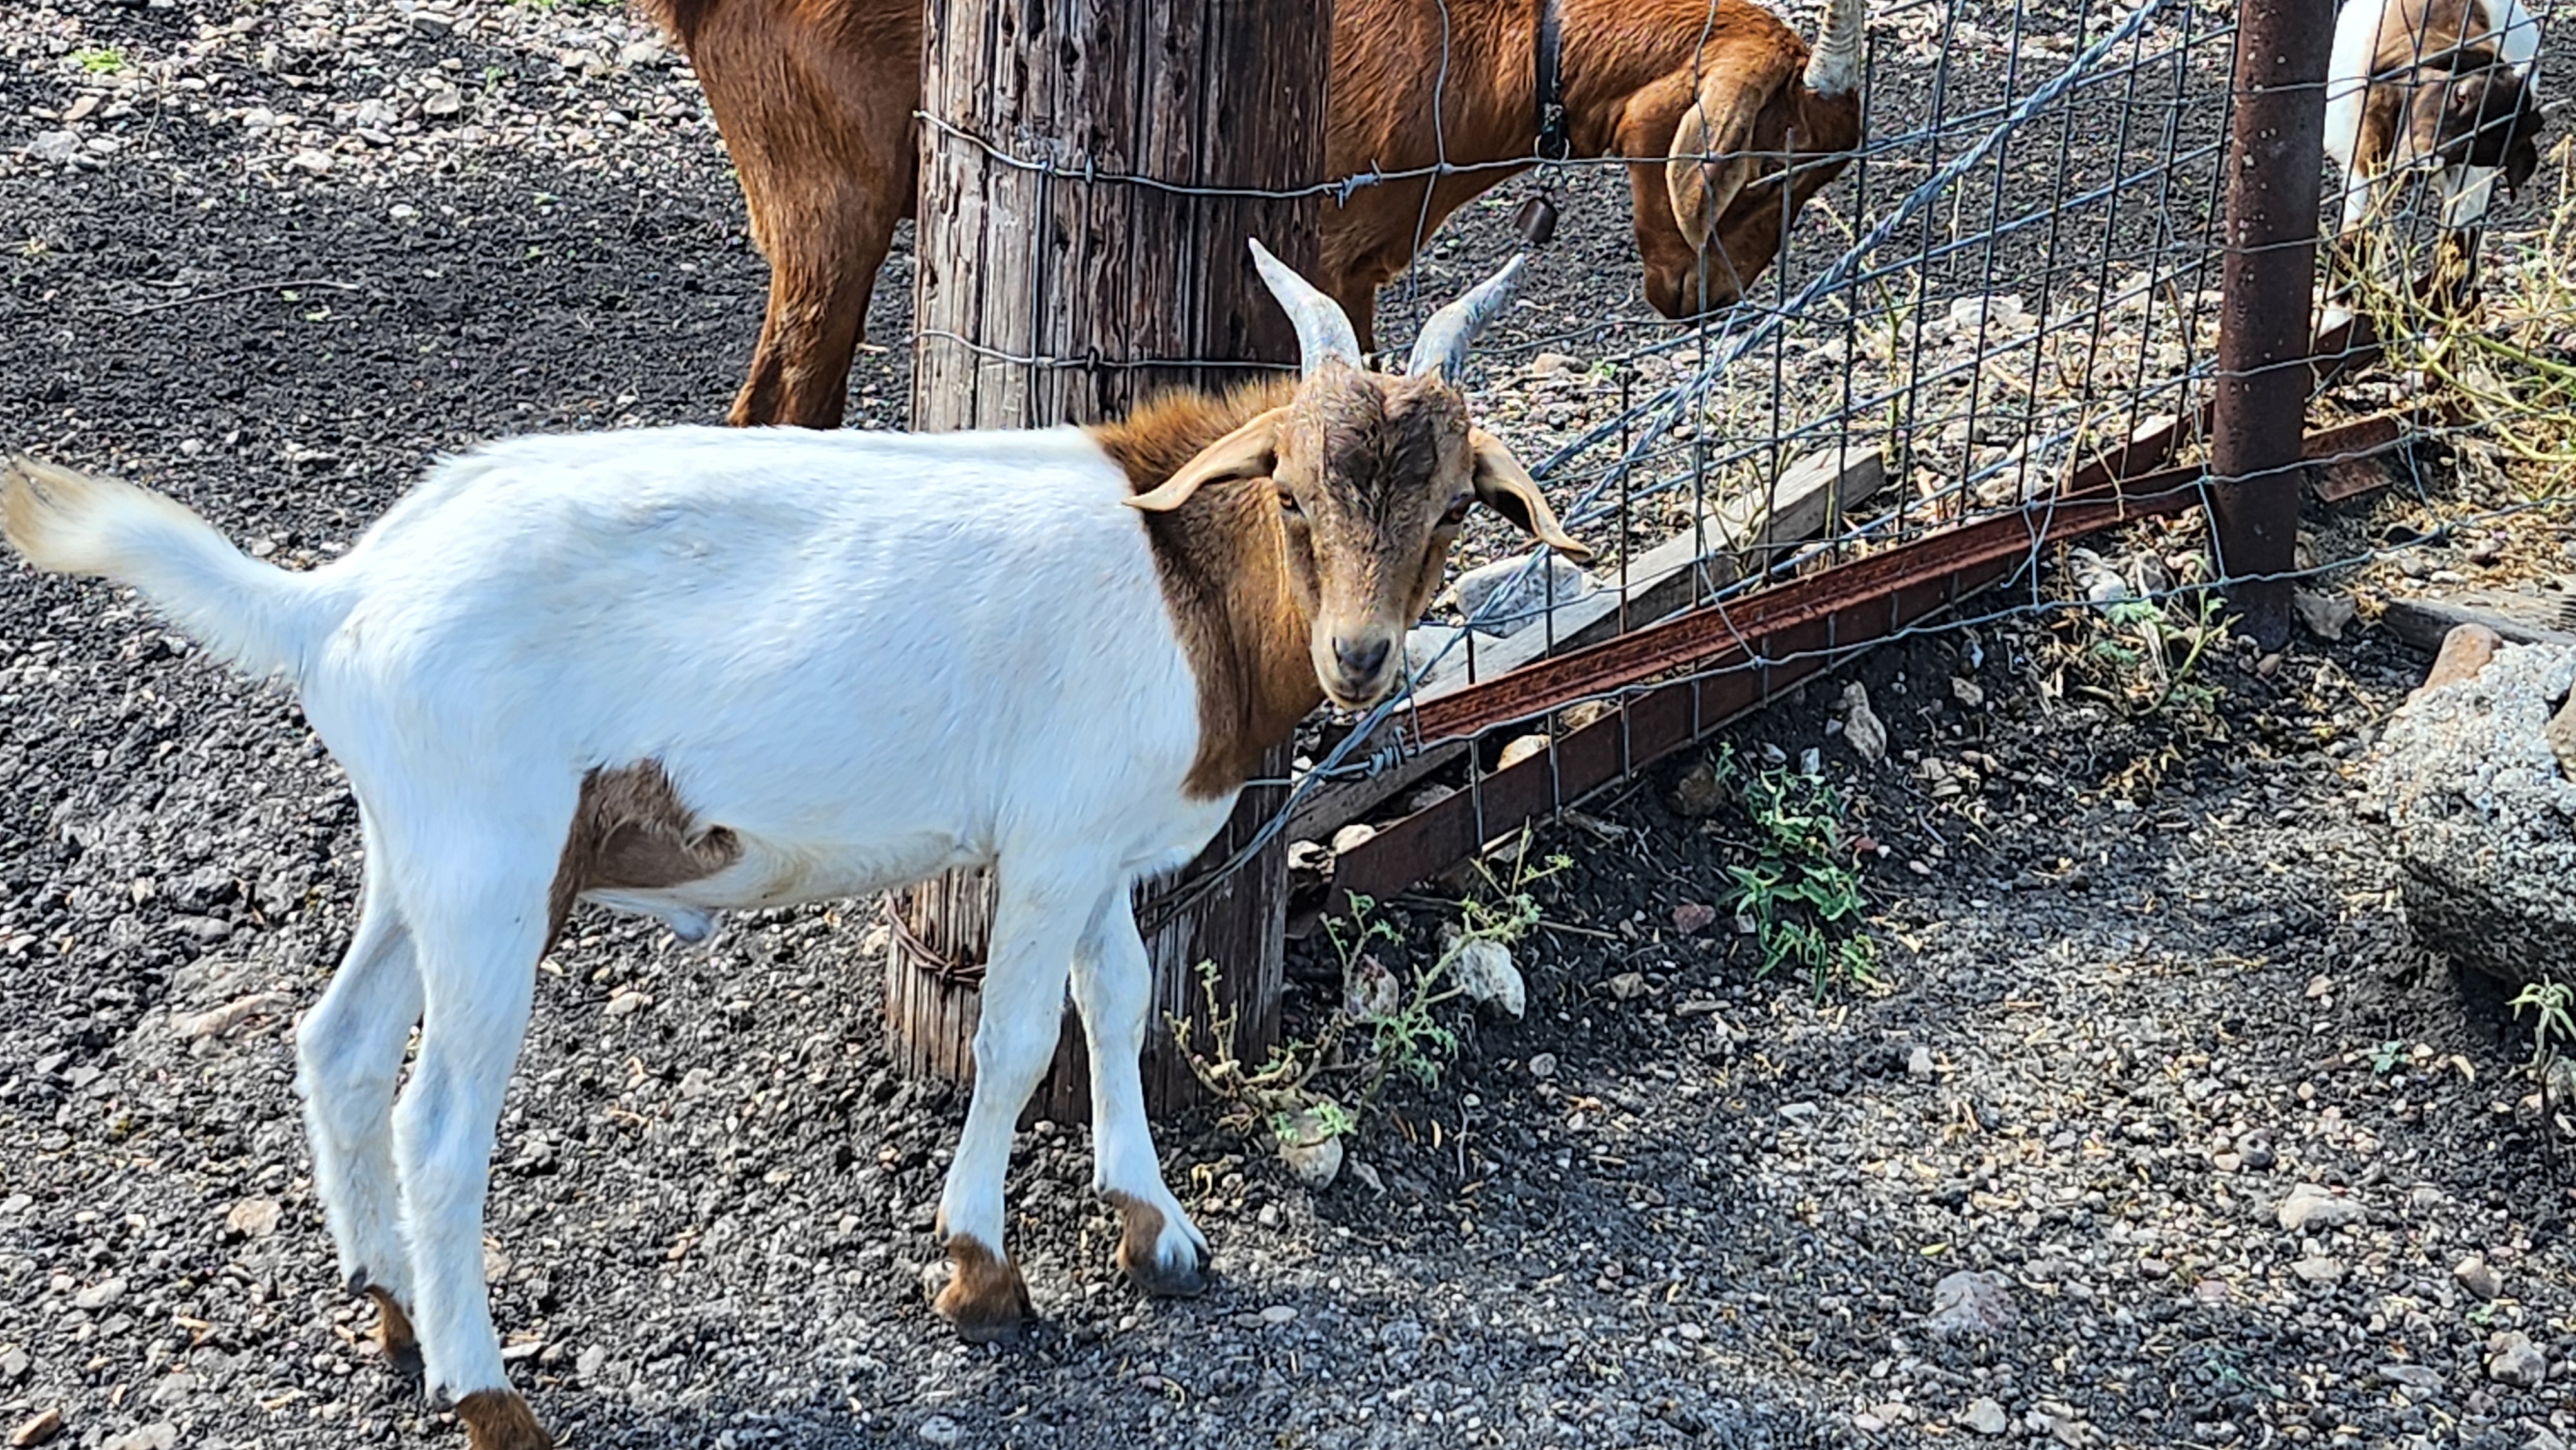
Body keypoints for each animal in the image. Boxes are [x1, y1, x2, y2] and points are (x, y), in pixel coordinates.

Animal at [1, 243, 1589, 1450]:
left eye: (1453, 505)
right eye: (1295, 493)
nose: (1358, 658)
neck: (1171, 565)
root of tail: (339, 599)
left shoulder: (1091, 838)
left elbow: (1119, 1004)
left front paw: (1159, 1233)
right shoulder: (1053, 837)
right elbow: (1021, 1036)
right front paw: (981, 1274)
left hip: (421, 855)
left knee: (333, 1047)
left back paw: (391, 1313)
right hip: (492, 868)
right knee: (436, 1122)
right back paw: (488, 1395)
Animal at [643, 0, 1867, 428]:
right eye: (1769, 170)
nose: (1711, 295)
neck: (1502, 40)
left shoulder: (1361, 261)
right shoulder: (1310, 239)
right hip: (828, 190)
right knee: (778, 406)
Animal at [2323, 0, 2548, 301]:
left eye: (2483, 145)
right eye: (2461, 95)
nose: (2418, 169)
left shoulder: (2467, 175)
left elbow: (2460, 239)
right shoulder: (2368, 152)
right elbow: (2357, 230)